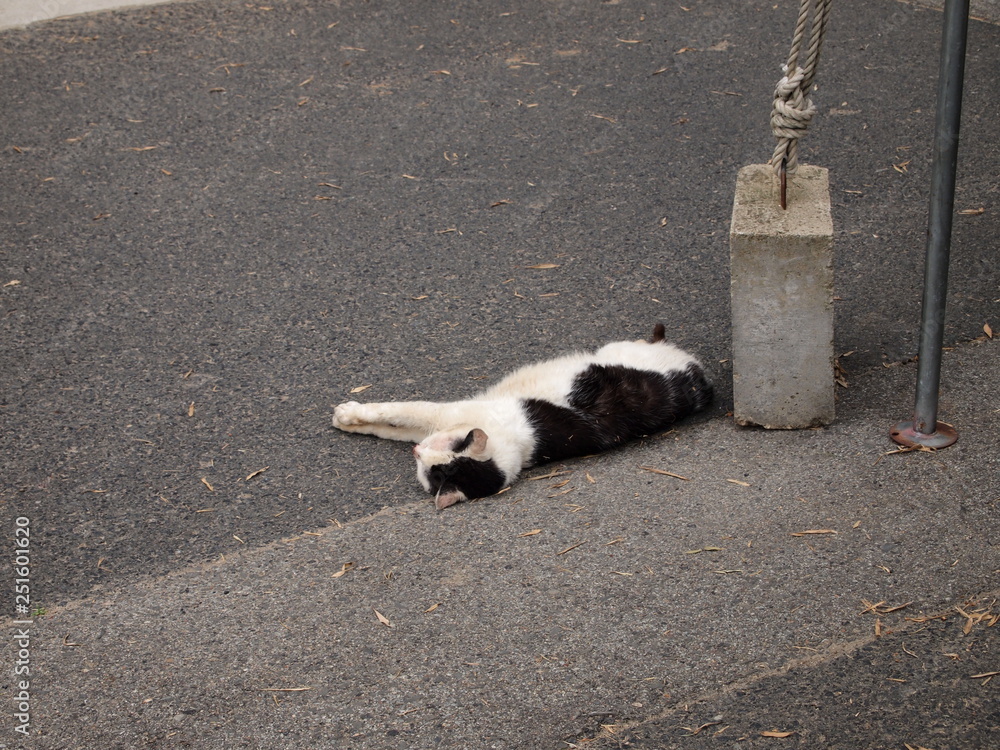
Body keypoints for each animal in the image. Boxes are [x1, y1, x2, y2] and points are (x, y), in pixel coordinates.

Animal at [332, 324, 713, 509]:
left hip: (621, 350)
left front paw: (347, 415)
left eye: (435, 471)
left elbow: (399, 411)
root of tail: (700, 381)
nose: (417, 453)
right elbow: (390, 429)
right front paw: (353, 421)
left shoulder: (447, 414)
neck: (515, 445)